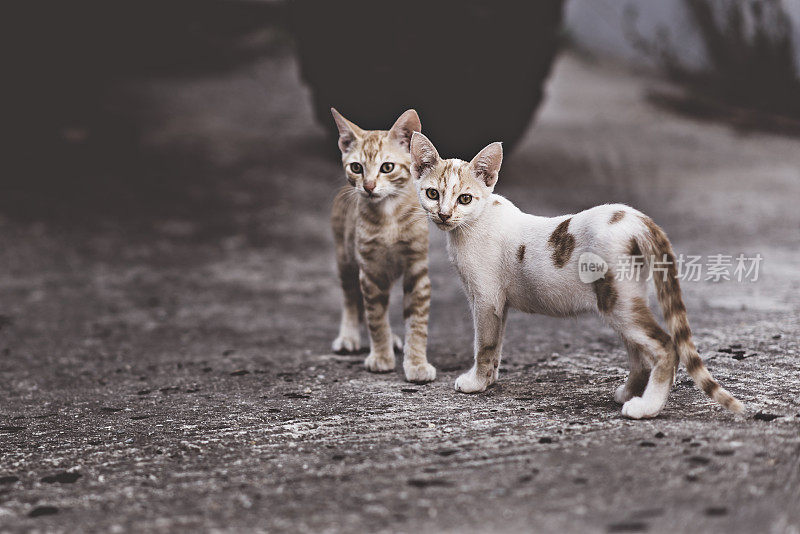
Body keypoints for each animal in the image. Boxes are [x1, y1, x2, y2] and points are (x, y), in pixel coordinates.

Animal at [328, 110, 434, 386]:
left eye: (387, 167)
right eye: (356, 167)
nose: (368, 186)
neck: (389, 217)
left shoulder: (417, 268)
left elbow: (417, 322)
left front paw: (416, 363)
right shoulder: (370, 270)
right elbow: (375, 317)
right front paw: (381, 356)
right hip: (345, 259)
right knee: (351, 299)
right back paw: (349, 336)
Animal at [412, 132, 744, 420]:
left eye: (465, 199)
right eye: (432, 194)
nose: (443, 214)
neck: (470, 226)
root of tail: (638, 219)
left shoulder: (486, 300)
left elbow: (484, 345)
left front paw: (477, 383)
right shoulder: (498, 305)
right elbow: (497, 346)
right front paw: (490, 380)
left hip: (616, 300)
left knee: (665, 346)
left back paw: (646, 407)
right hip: (626, 297)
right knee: (639, 354)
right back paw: (629, 393)